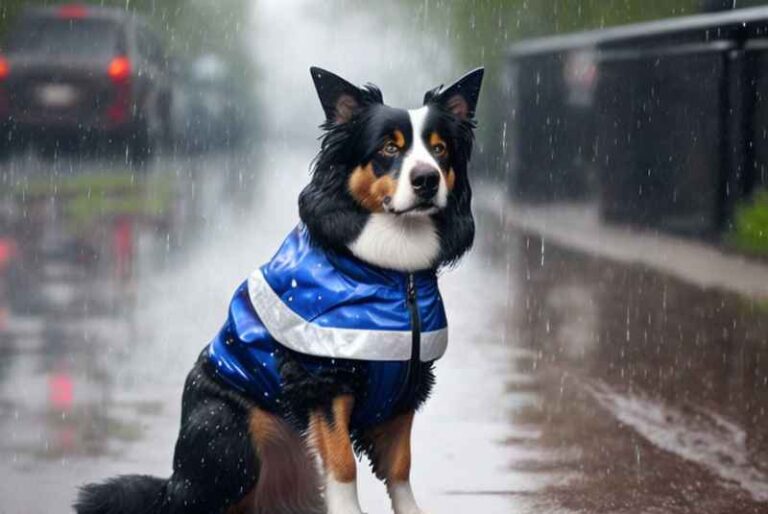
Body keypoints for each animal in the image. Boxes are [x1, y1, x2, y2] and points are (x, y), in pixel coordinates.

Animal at [76, 66, 486, 512]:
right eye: (388, 149)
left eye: (440, 149)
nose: (426, 179)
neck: (394, 275)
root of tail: (174, 481)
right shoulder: (322, 377)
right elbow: (342, 461)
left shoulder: (408, 382)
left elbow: (400, 465)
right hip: (231, 435)